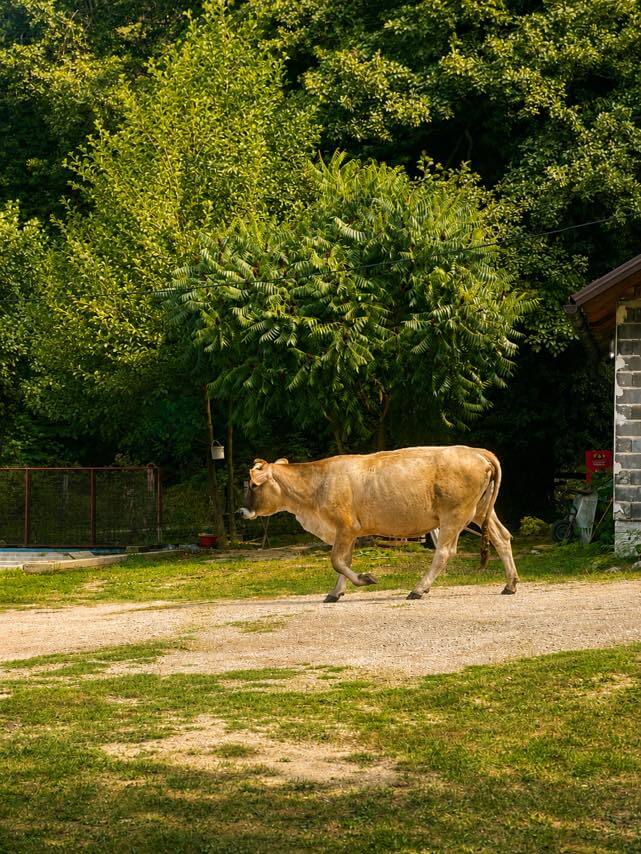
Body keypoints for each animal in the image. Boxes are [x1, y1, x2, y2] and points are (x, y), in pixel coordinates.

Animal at [239, 446, 519, 603]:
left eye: (252, 485)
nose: (242, 510)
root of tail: (477, 452)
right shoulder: (348, 533)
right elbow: (343, 563)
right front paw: (335, 593)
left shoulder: (345, 528)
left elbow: (337, 561)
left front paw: (366, 579)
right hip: (481, 510)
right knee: (502, 538)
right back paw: (510, 584)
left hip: (454, 514)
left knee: (444, 552)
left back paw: (419, 589)